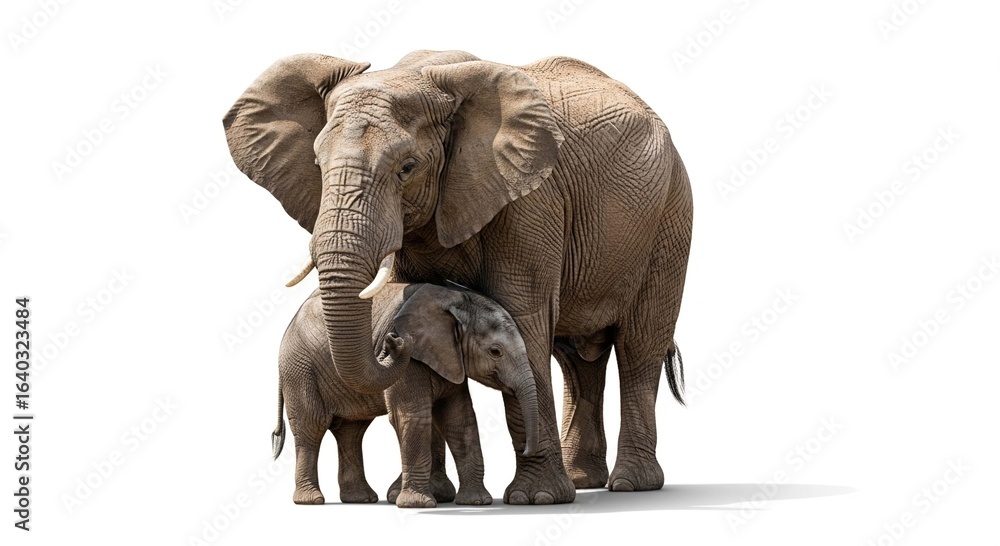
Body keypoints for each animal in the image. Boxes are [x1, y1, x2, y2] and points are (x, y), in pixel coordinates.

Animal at [272, 282, 537, 507]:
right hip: (299, 369)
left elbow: (460, 420)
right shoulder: (413, 361)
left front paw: (477, 502)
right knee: (312, 426)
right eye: (495, 352)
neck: (458, 298)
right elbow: (412, 416)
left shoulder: (451, 359)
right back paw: (311, 501)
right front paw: (417, 504)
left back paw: (361, 499)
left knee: (351, 430)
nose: (391, 344)